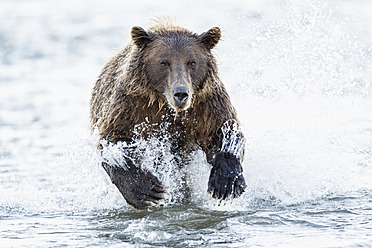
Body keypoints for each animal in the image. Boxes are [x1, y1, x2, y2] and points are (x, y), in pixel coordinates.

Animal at [90, 19, 247, 209]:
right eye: (164, 62)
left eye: (192, 62)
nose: (181, 93)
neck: (166, 105)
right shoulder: (130, 105)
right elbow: (114, 140)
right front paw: (147, 189)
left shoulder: (206, 104)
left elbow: (224, 131)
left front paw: (225, 183)